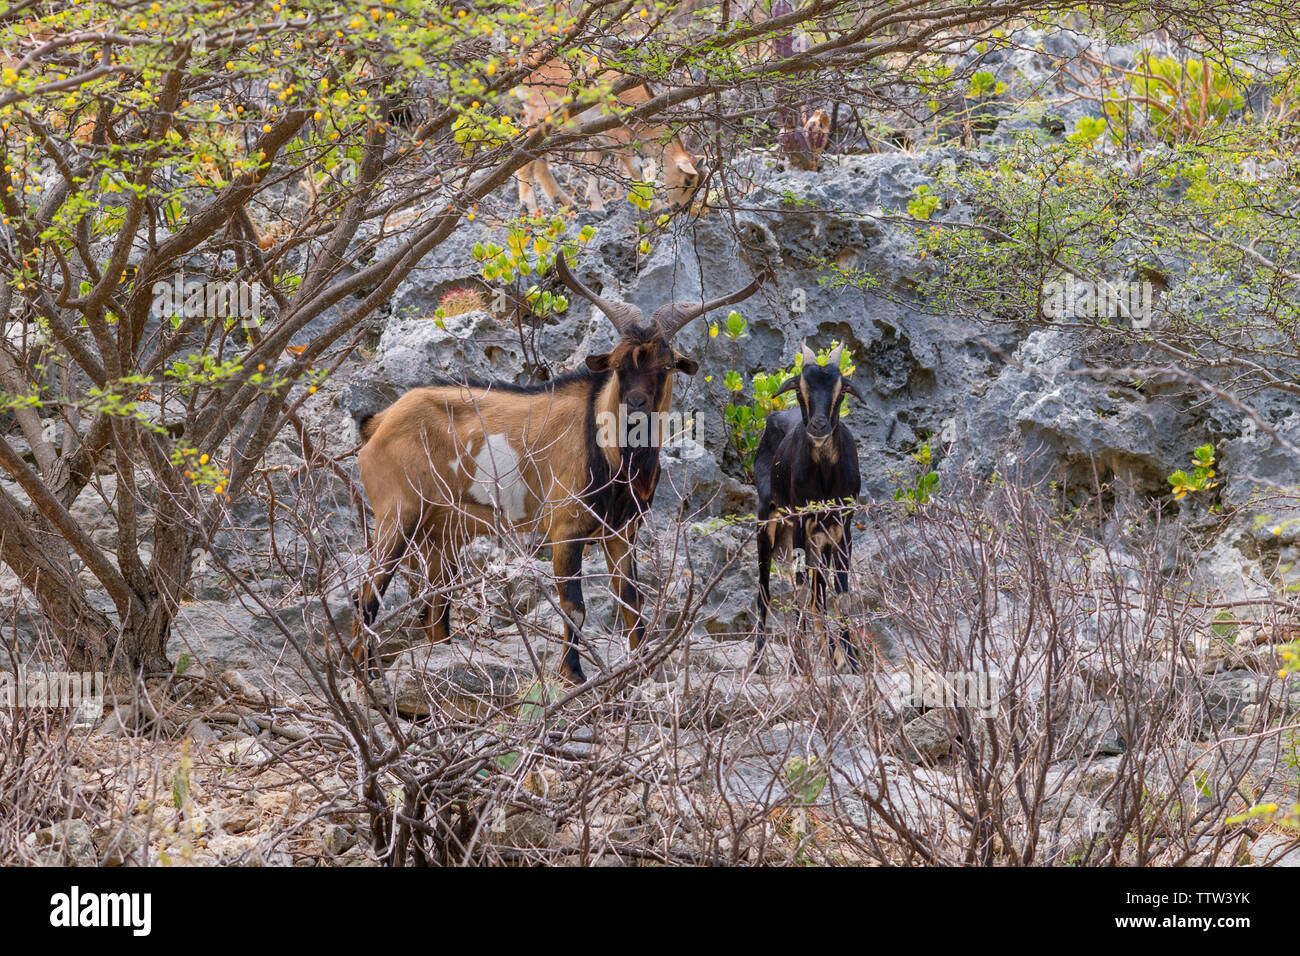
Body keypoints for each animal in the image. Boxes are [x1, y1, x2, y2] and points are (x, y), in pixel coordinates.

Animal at [356, 252, 759, 681]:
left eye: (666, 366)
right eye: (618, 364)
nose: (636, 405)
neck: (609, 452)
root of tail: (379, 423)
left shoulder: (622, 532)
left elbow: (632, 603)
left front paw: (642, 672)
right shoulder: (565, 529)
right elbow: (575, 608)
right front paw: (573, 676)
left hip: (442, 530)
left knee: (436, 608)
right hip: (397, 514)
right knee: (367, 595)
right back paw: (366, 674)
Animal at [754, 348, 863, 671]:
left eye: (841, 391)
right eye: (801, 391)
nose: (818, 426)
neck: (826, 478)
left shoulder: (842, 529)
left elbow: (840, 595)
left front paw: (851, 660)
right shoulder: (801, 524)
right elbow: (801, 593)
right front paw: (796, 662)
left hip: (818, 540)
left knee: (819, 594)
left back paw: (830, 652)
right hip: (769, 521)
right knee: (765, 591)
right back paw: (758, 659)